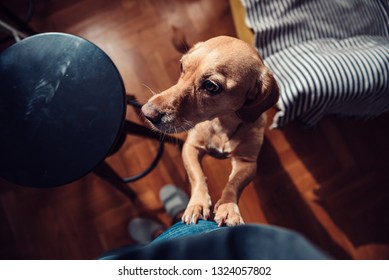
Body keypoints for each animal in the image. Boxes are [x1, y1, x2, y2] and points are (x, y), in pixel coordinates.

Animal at [141, 35, 278, 228]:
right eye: (181, 66)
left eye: (210, 86)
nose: (146, 113)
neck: (222, 124)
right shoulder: (190, 148)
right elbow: (198, 176)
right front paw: (197, 204)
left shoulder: (247, 162)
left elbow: (234, 183)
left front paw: (228, 208)